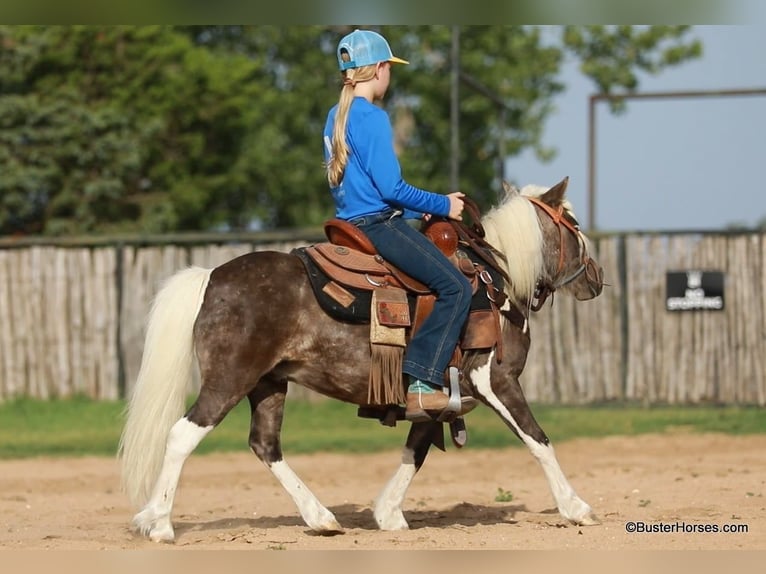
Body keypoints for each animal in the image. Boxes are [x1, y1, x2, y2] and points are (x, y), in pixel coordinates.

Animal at [118, 178, 608, 544]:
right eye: (574, 223)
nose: (597, 278)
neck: (497, 283)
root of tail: (212, 278)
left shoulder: (436, 393)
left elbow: (416, 449)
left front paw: (388, 513)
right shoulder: (495, 380)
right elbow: (538, 440)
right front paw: (576, 507)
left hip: (269, 384)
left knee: (265, 445)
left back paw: (319, 517)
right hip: (230, 379)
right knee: (183, 435)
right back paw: (160, 523)